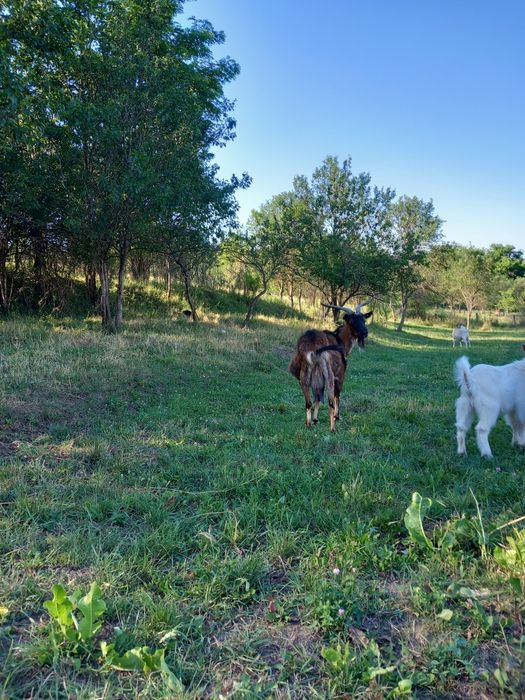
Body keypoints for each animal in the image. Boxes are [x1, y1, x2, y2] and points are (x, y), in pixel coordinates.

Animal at [288, 301, 372, 431]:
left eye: (364, 319)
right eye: (351, 321)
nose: (364, 332)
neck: (340, 340)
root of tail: (311, 346)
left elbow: (317, 397)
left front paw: (315, 419)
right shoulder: (340, 374)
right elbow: (338, 395)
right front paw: (337, 417)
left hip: (303, 375)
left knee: (308, 402)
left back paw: (308, 423)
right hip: (329, 374)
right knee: (330, 402)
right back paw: (332, 428)